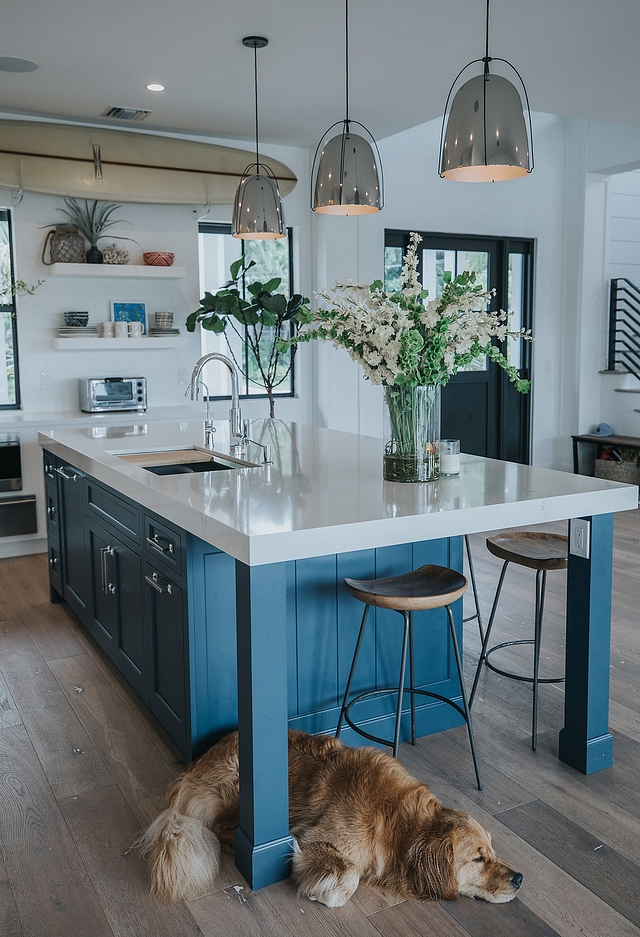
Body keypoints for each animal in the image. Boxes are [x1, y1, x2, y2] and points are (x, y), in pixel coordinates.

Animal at [138, 732, 524, 908]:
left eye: (492, 850)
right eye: (477, 858)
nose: (519, 877)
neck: (398, 825)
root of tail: (191, 772)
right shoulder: (319, 840)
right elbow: (349, 873)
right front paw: (325, 891)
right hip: (236, 783)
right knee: (220, 829)